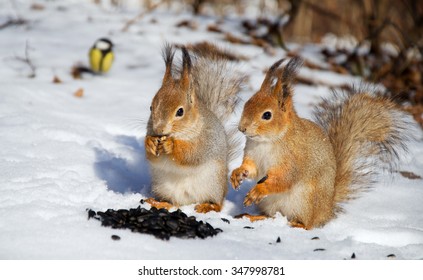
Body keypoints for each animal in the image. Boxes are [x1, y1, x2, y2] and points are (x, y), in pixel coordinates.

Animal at [146, 43, 245, 213]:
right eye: (151, 108)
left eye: (180, 111)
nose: (158, 130)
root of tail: (189, 201)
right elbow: (152, 158)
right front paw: (150, 143)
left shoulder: (207, 139)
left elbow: (192, 154)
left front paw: (171, 145)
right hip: (163, 187)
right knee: (173, 202)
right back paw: (160, 203)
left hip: (213, 184)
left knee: (217, 204)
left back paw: (208, 206)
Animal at [232, 57, 414, 230]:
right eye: (247, 103)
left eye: (267, 115)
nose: (242, 128)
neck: (267, 141)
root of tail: (327, 210)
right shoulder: (253, 155)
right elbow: (252, 169)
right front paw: (237, 174)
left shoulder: (292, 160)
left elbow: (284, 179)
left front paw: (259, 189)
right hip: (271, 203)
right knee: (271, 216)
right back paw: (253, 216)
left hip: (306, 201)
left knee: (309, 224)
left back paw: (298, 224)